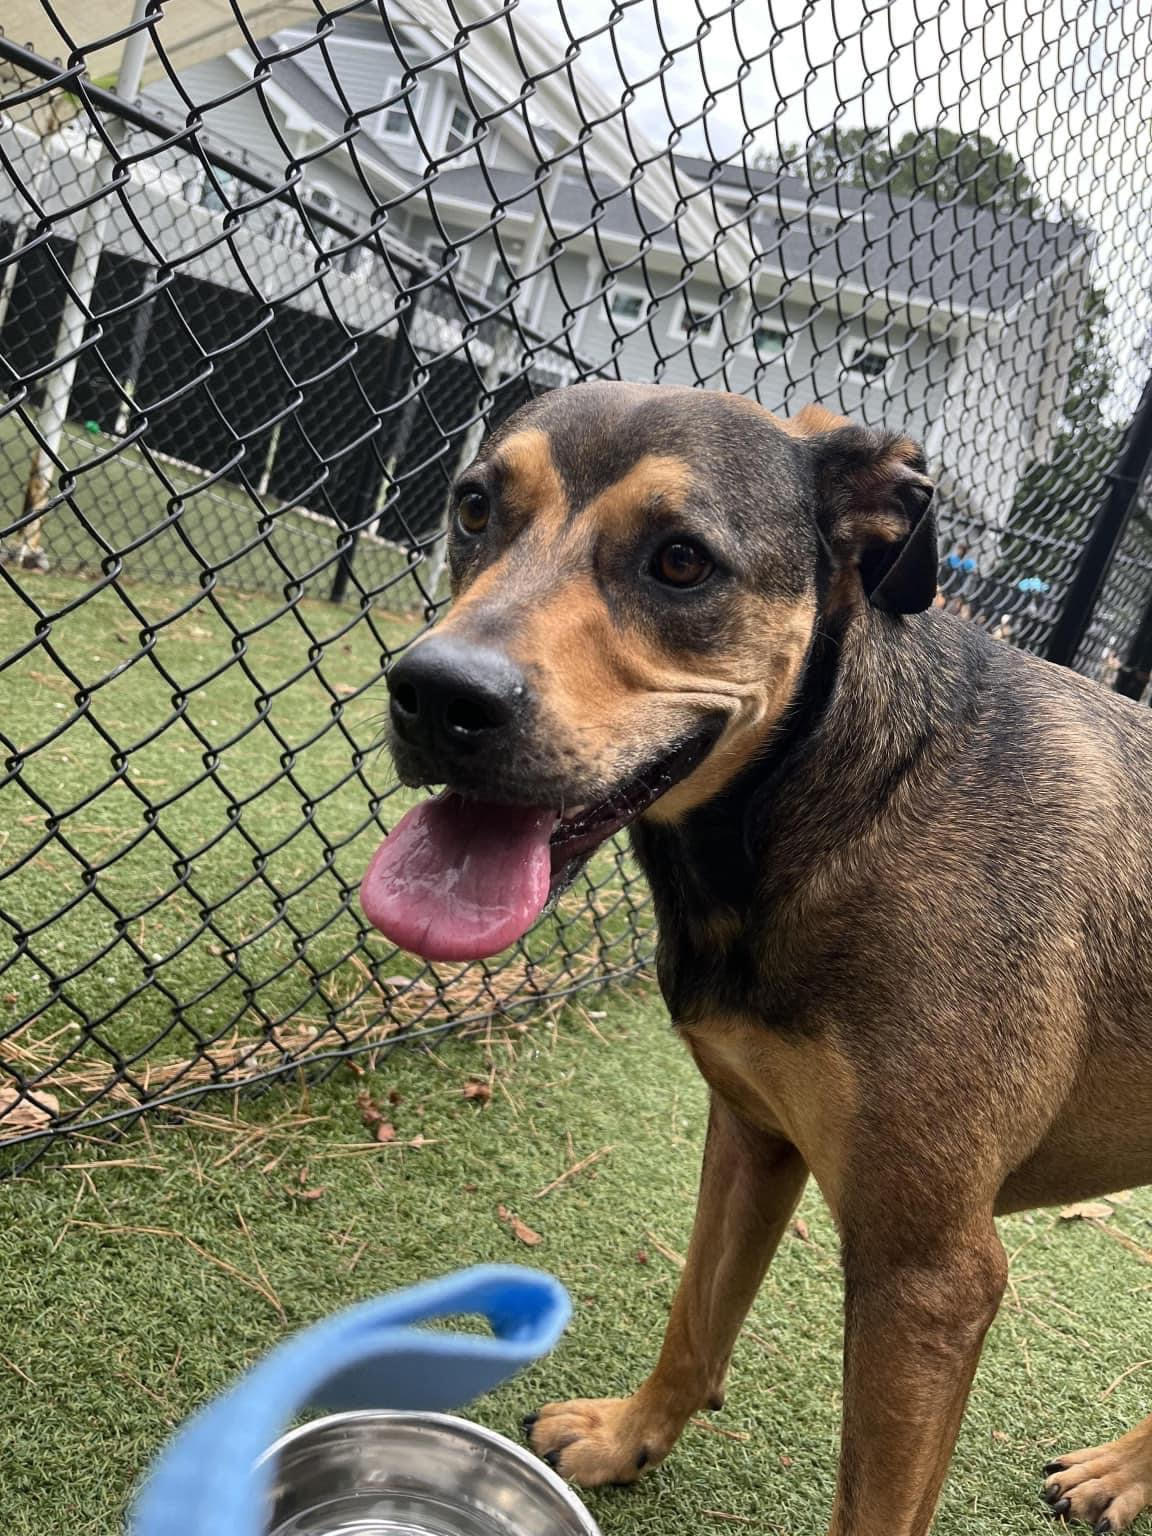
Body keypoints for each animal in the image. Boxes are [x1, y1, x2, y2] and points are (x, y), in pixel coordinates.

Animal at [360, 380, 1152, 1536]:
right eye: (473, 507)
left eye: (683, 561)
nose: (437, 694)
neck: (841, 797)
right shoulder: (750, 1134)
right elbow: (697, 1314)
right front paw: (626, 1439)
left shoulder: (928, 1275)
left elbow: (873, 1508)